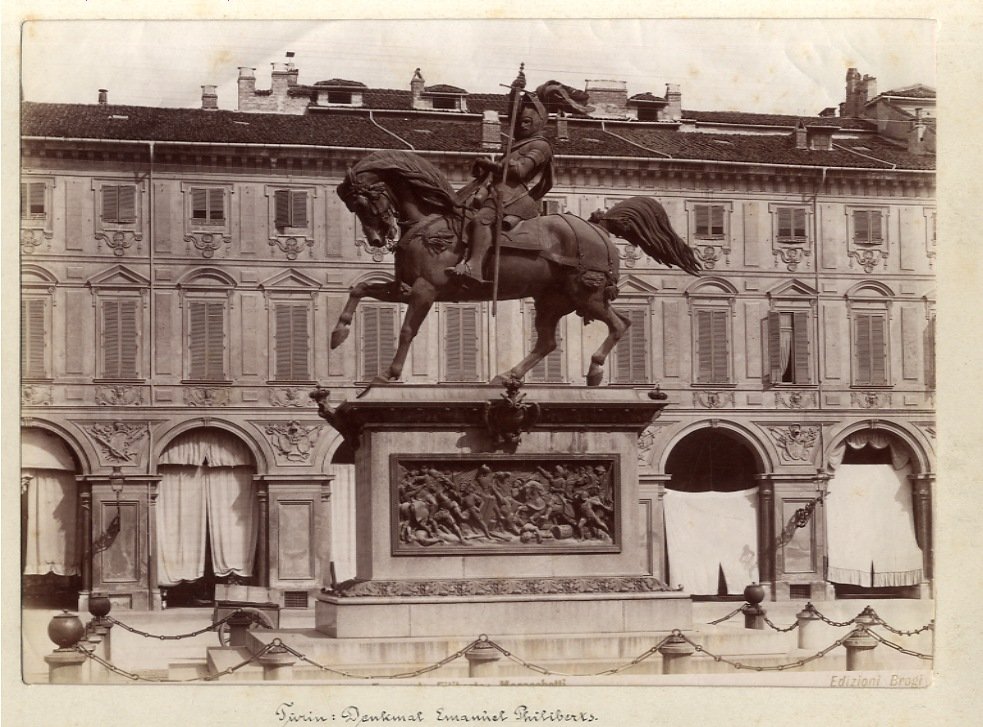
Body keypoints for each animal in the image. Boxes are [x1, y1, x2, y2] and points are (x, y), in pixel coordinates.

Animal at [334, 147, 704, 386]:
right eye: (353, 206)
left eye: (366, 199)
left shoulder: (426, 289)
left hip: (587, 294)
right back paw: (508, 375)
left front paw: (388, 374)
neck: (430, 221)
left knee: (620, 323)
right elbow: (359, 288)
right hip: (552, 301)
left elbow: (407, 330)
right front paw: (339, 333)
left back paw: (595, 371)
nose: (377, 239)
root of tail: (596, 225)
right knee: (547, 342)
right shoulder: (405, 288)